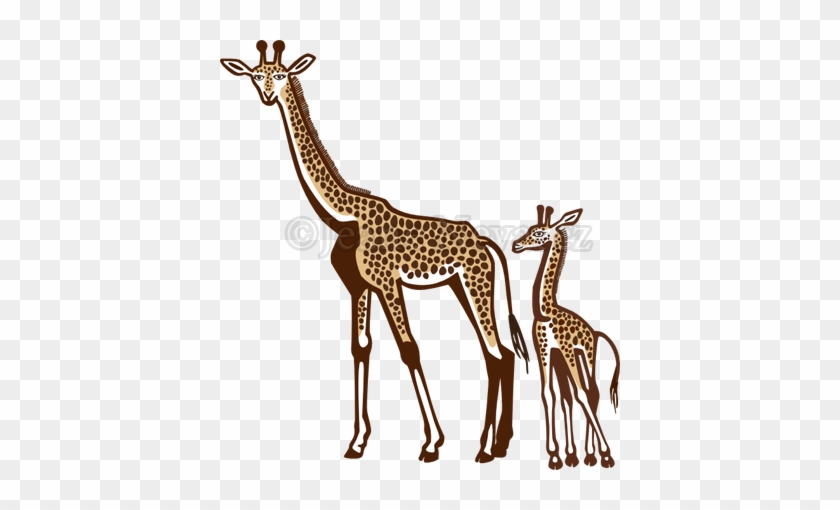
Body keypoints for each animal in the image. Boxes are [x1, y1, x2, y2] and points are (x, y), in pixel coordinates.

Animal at [220, 40, 530, 463]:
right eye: (255, 75)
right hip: (459, 285)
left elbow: (409, 349)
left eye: (281, 74)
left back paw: (485, 447)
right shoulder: (359, 287)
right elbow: (361, 349)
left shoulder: (386, 282)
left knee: (498, 355)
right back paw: (497, 444)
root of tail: (483, 242)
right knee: (500, 355)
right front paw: (357, 442)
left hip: (475, 283)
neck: (345, 215)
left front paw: (432, 444)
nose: (268, 97)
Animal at [512, 205, 621, 469]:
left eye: (539, 233)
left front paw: (605, 454)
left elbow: (580, 394)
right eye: (531, 229)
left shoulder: (565, 348)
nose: (516, 245)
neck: (546, 310)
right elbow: (550, 394)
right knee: (574, 395)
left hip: (586, 355)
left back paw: (594, 454)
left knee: (592, 392)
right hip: (569, 358)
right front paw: (556, 455)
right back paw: (582, 455)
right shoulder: (544, 350)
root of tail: (595, 332)